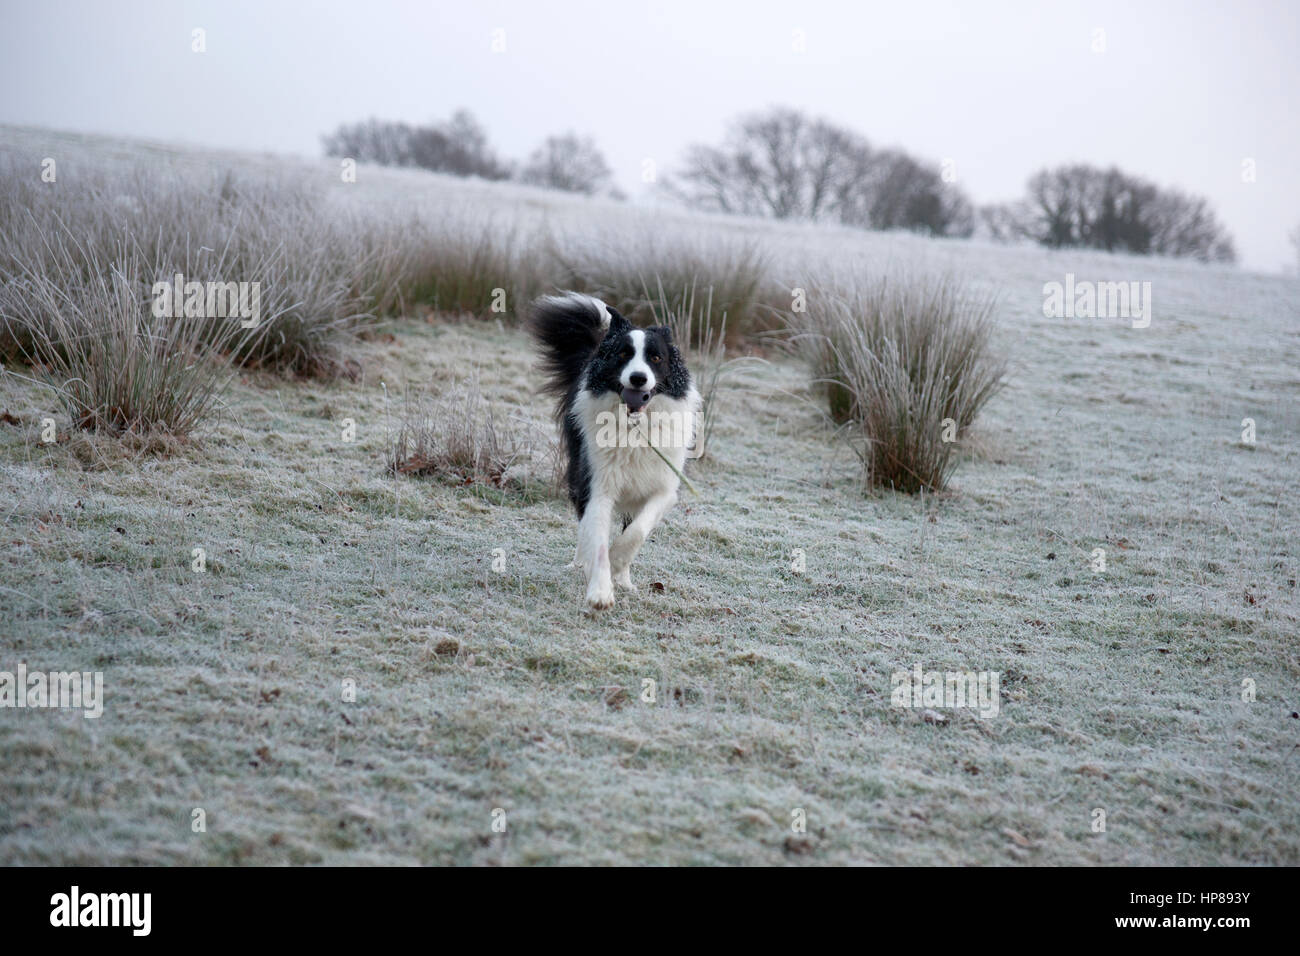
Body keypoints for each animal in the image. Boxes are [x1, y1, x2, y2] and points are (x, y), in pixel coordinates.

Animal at [527, 291, 702, 613]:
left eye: (656, 358)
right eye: (622, 355)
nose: (638, 378)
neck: (633, 426)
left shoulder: (664, 488)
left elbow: (636, 532)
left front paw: (618, 566)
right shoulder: (597, 485)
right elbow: (596, 537)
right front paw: (599, 591)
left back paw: (623, 578)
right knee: (584, 525)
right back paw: (580, 564)